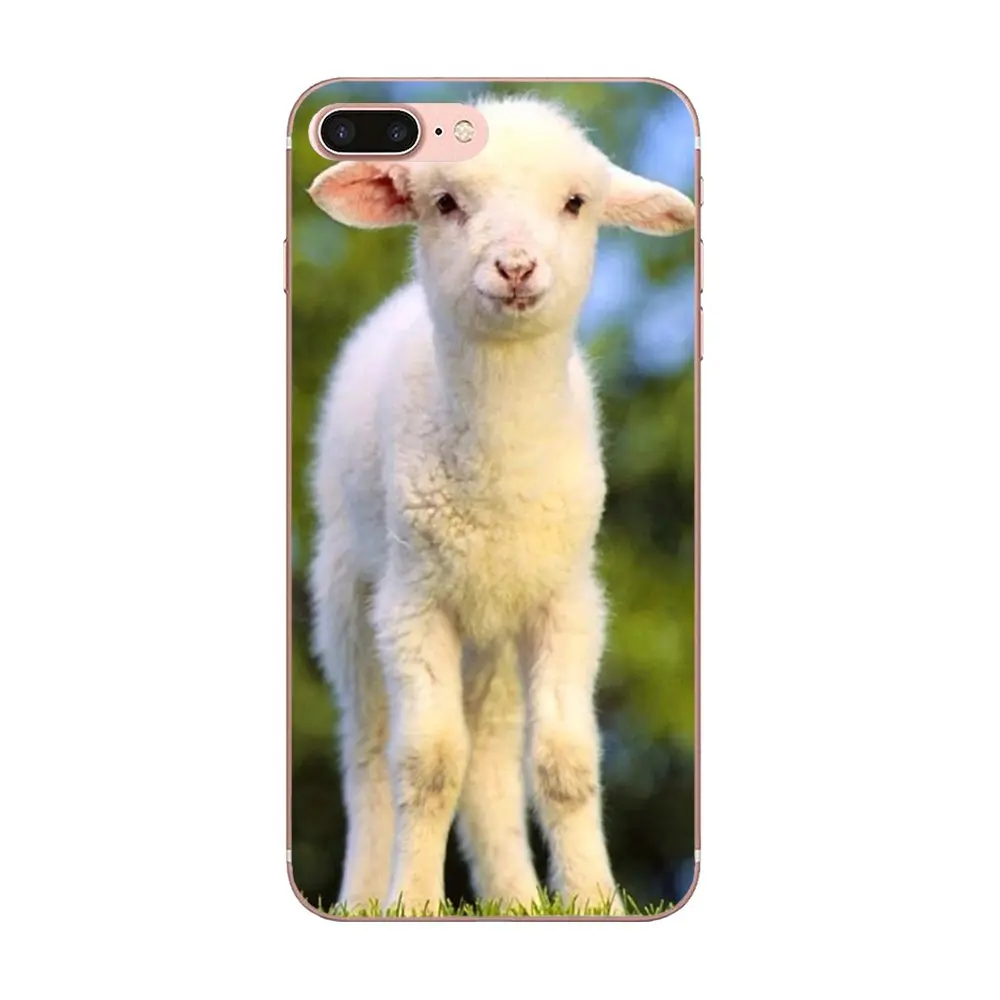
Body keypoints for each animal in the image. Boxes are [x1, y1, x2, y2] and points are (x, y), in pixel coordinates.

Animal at [305, 95, 695, 915]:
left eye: (576, 203)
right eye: (446, 204)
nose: (515, 266)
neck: (500, 475)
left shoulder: (567, 599)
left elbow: (565, 760)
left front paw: (597, 901)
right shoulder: (413, 602)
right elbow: (426, 761)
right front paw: (414, 901)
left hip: (494, 626)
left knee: (489, 751)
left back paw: (515, 896)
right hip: (347, 592)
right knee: (369, 751)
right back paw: (364, 896)